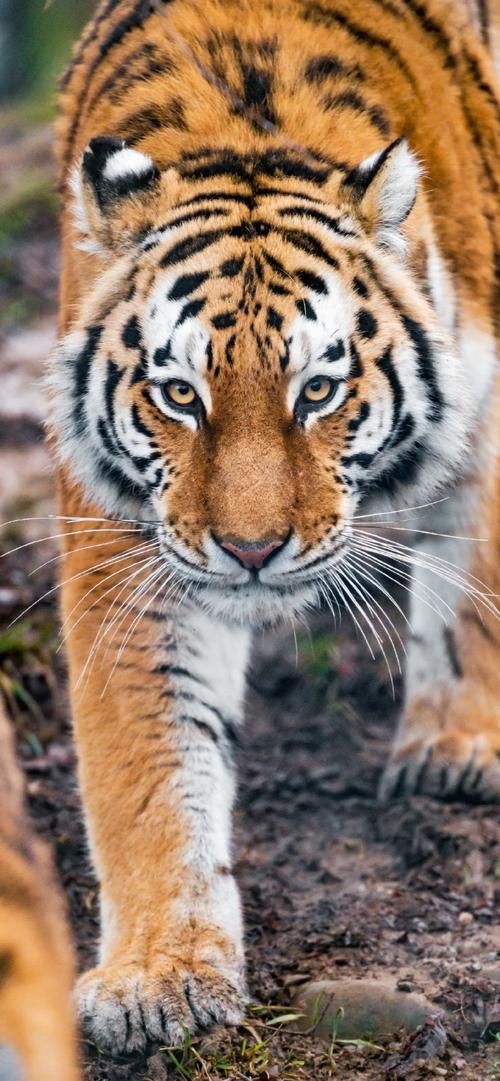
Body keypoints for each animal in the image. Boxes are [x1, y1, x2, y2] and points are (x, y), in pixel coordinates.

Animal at [48, 0, 499, 1054]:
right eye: (180, 394)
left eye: (318, 390)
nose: (252, 551)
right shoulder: (129, 542)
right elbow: (147, 762)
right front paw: (160, 975)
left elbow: (477, 584)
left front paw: (456, 748)